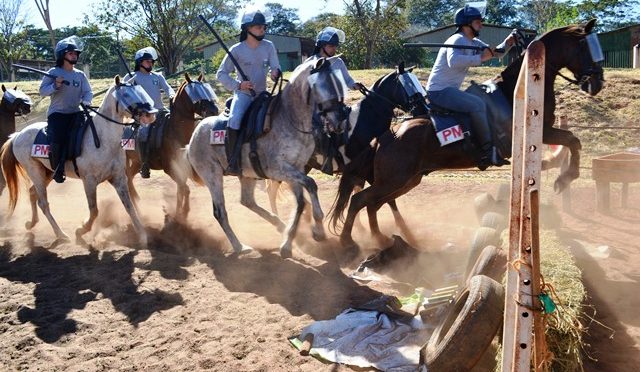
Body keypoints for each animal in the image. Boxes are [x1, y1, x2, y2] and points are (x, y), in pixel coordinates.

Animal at [0, 75, 158, 247]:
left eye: (140, 90)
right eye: (126, 94)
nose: (151, 114)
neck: (103, 139)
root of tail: (17, 135)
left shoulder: (119, 178)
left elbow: (129, 206)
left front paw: (142, 236)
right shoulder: (89, 181)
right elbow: (94, 210)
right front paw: (80, 231)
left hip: (47, 173)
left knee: (32, 193)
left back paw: (31, 223)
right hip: (35, 171)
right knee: (43, 203)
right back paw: (61, 234)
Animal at [125, 72, 220, 218]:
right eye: (195, 93)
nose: (214, 110)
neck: (175, 130)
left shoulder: (183, 167)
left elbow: (182, 190)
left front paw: (182, 212)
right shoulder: (170, 168)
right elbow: (184, 189)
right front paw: (179, 215)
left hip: (136, 161)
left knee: (129, 176)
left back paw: (137, 201)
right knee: (126, 179)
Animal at [188, 58, 350, 258]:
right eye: (323, 84)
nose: (340, 119)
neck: (290, 119)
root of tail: (194, 135)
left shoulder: (296, 168)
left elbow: (301, 202)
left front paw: (291, 240)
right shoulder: (278, 169)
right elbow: (311, 185)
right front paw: (316, 230)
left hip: (247, 175)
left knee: (247, 201)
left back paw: (280, 226)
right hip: (212, 176)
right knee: (220, 212)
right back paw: (240, 246)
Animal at [330, 18, 604, 250]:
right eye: (586, 47)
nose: (598, 83)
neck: (517, 90)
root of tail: (386, 136)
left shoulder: (541, 133)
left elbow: (571, 142)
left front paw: (556, 169)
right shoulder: (540, 132)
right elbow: (572, 141)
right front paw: (566, 177)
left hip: (407, 180)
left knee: (373, 204)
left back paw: (382, 239)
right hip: (394, 179)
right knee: (359, 201)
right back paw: (348, 242)